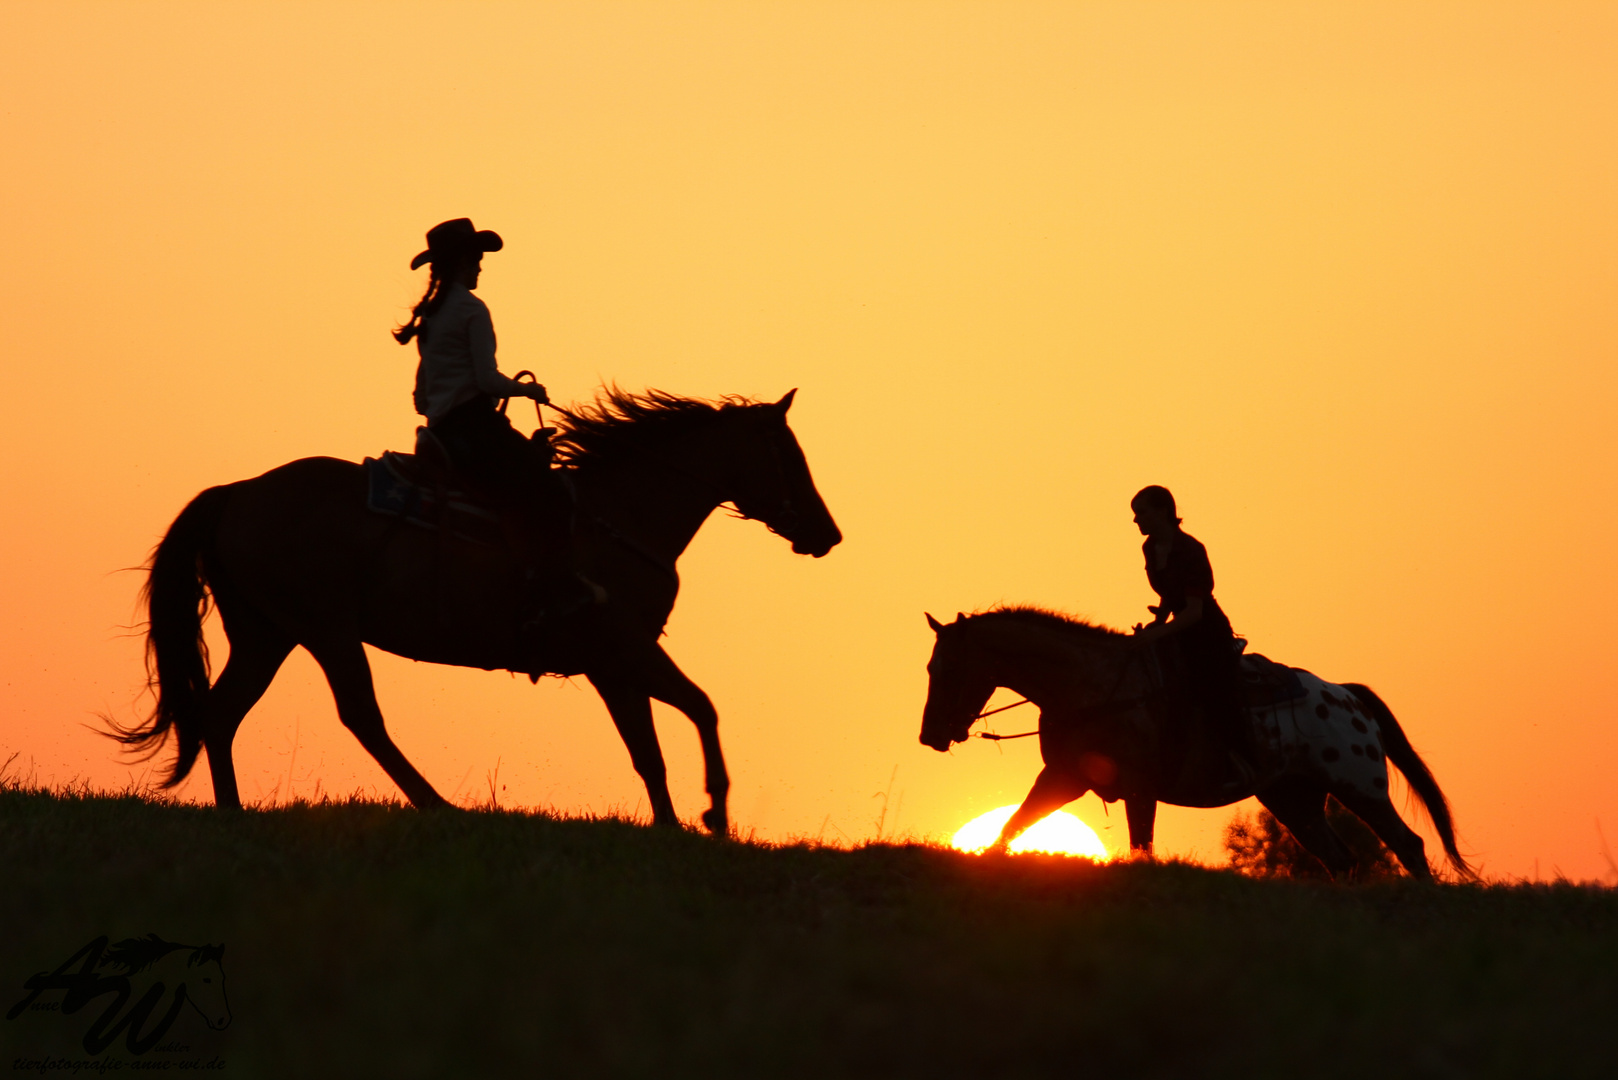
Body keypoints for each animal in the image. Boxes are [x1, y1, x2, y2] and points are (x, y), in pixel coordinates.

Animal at [119, 390, 841, 835]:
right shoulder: (625, 648)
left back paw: (233, 812)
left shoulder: (613, 666)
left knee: (221, 713)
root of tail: (238, 492)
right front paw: (713, 815)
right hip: (325, 631)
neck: (617, 516)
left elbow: (651, 747)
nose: (827, 534)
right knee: (361, 716)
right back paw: (439, 805)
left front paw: (673, 823)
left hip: (266, 634)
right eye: (789, 456)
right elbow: (697, 710)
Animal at [919, 608, 1475, 880]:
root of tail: (1347, 697)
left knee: (1408, 845)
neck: (1090, 685)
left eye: (947, 668)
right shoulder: (1063, 779)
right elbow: (1010, 827)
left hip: (1361, 788)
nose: (929, 735)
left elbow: (1141, 847)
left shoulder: (1139, 787)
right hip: (1294, 801)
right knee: (1343, 861)